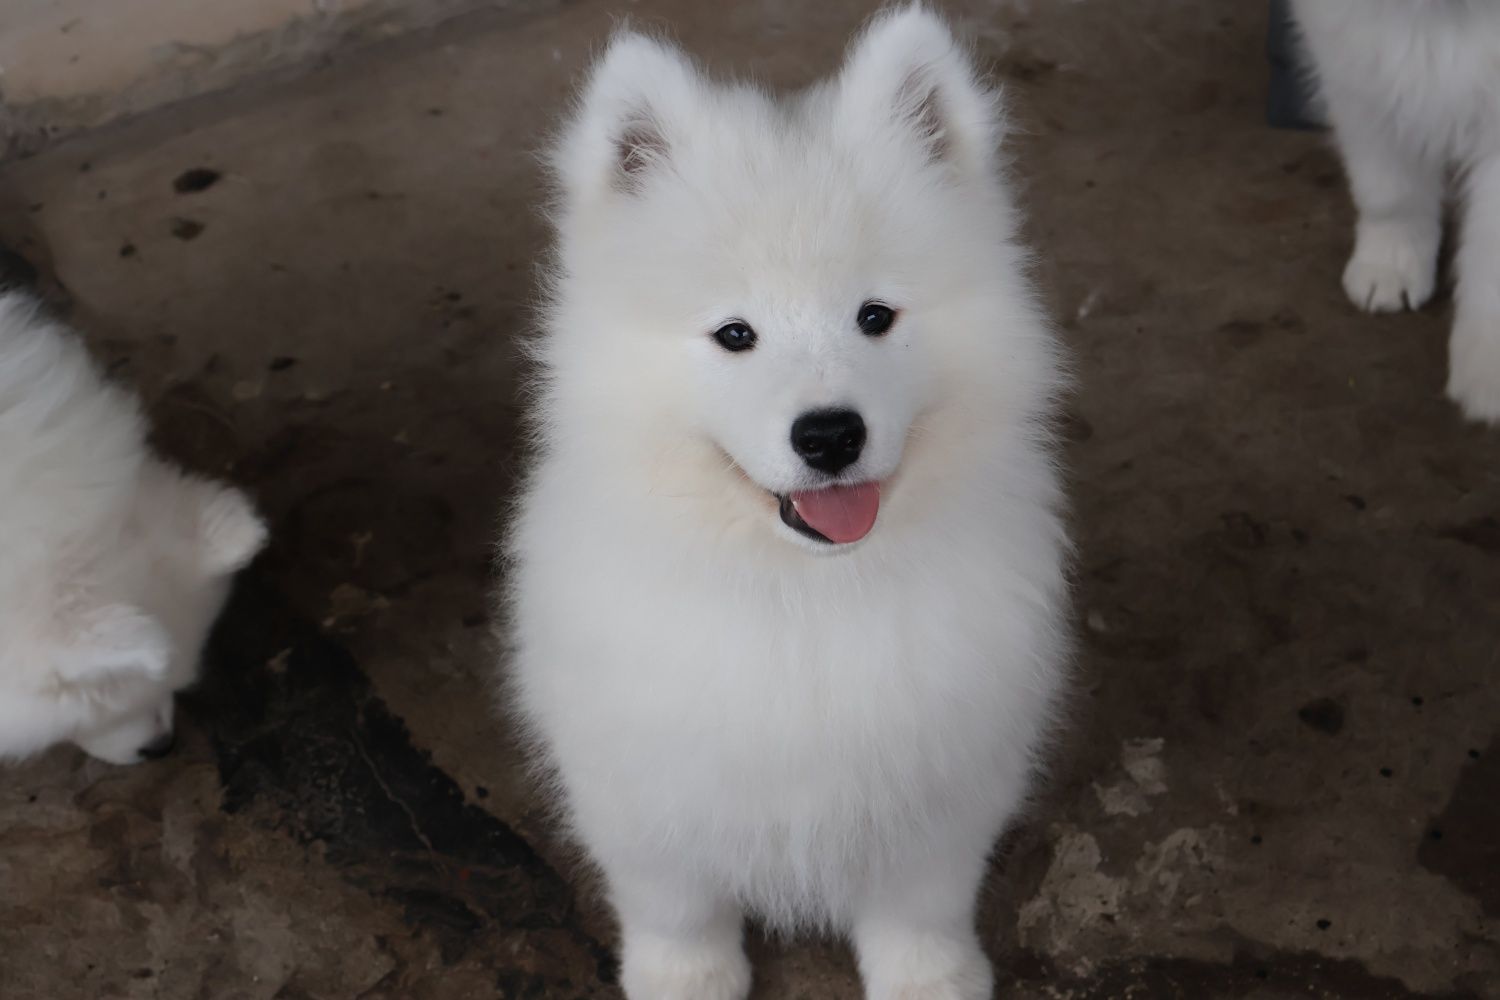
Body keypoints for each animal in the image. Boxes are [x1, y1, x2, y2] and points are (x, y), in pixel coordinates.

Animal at [504, 7, 1068, 1000]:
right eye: (736, 334)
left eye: (875, 316)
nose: (830, 435)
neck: (806, 593)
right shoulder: (638, 785)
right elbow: (675, 905)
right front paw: (685, 980)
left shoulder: (946, 782)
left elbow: (920, 905)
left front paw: (929, 978)